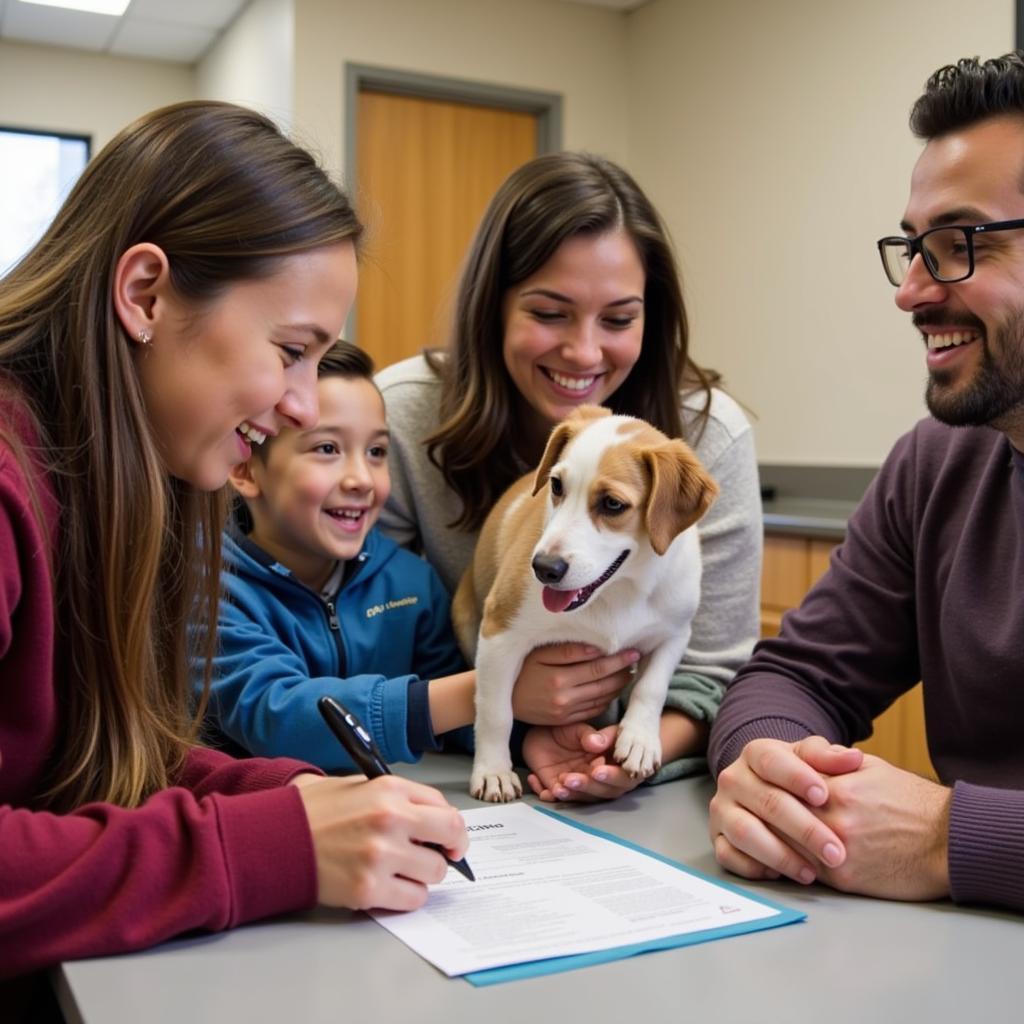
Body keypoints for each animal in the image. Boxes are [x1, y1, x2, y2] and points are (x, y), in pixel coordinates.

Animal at [452, 403, 716, 802]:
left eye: (613, 504)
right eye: (557, 486)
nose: (544, 568)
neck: (620, 591)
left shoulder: (674, 634)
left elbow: (652, 687)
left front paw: (640, 739)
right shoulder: (501, 634)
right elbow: (496, 711)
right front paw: (493, 771)